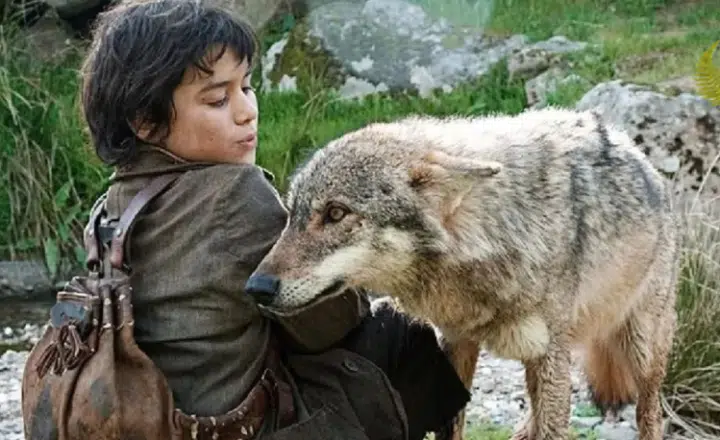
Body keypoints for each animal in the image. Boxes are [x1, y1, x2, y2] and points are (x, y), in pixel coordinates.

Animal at [245, 107, 680, 440]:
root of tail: (639, 153)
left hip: (642, 351)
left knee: (649, 415)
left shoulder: (549, 354)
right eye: (292, 215)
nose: (256, 287)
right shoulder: (456, 344)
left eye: (336, 213)